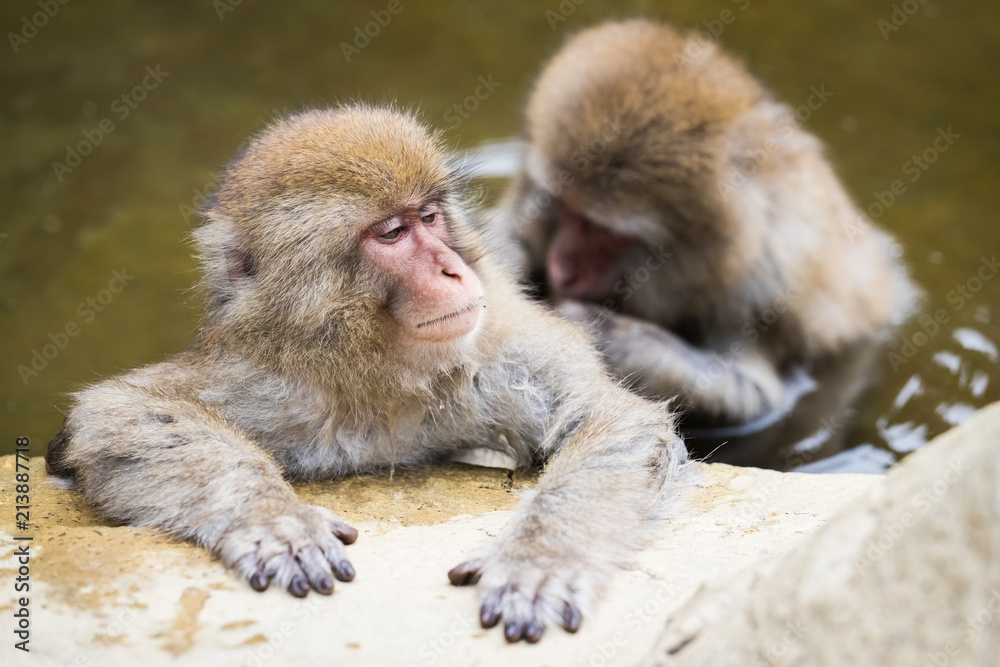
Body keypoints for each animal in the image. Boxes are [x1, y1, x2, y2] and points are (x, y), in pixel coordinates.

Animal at [45, 105, 687, 643]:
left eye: (429, 216)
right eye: (393, 233)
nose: (452, 269)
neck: (379, 368)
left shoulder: (507, 353)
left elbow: (614, 423)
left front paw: (540, 561)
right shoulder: (262, 369)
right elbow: (119, 414)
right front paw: (276, 521)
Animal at [494, 19, 915, 431]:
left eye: (608, 234)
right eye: (565, 209)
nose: (561, 269)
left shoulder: (758, 295)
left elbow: (757, 399)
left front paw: (608, 337)